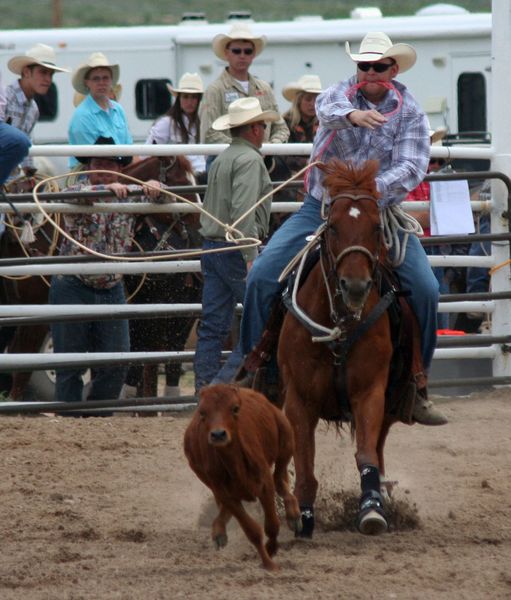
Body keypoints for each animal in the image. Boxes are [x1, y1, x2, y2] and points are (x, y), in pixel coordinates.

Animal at [184, 384, 302, 572]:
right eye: (202, 412)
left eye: (235, 408)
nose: (218, 434)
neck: (235, 465)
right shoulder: (225, 493)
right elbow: (252, 530)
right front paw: (268, 562)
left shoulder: (265, 485)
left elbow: (272, 525)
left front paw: (271, 550)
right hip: (203, 477)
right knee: (222, 505)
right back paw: (219, 531)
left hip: (287, 441)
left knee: (280, 478)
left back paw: (294, 516)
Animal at [278, 159, 422, 540]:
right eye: (333, 227)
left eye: (376, 227)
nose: (355, 286)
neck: (340, 325)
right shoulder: (299, 399)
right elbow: (305, 462)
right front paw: (302, 514)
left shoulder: (370, 393)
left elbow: (366, 455)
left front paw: (372, 508)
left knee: (379, 447)